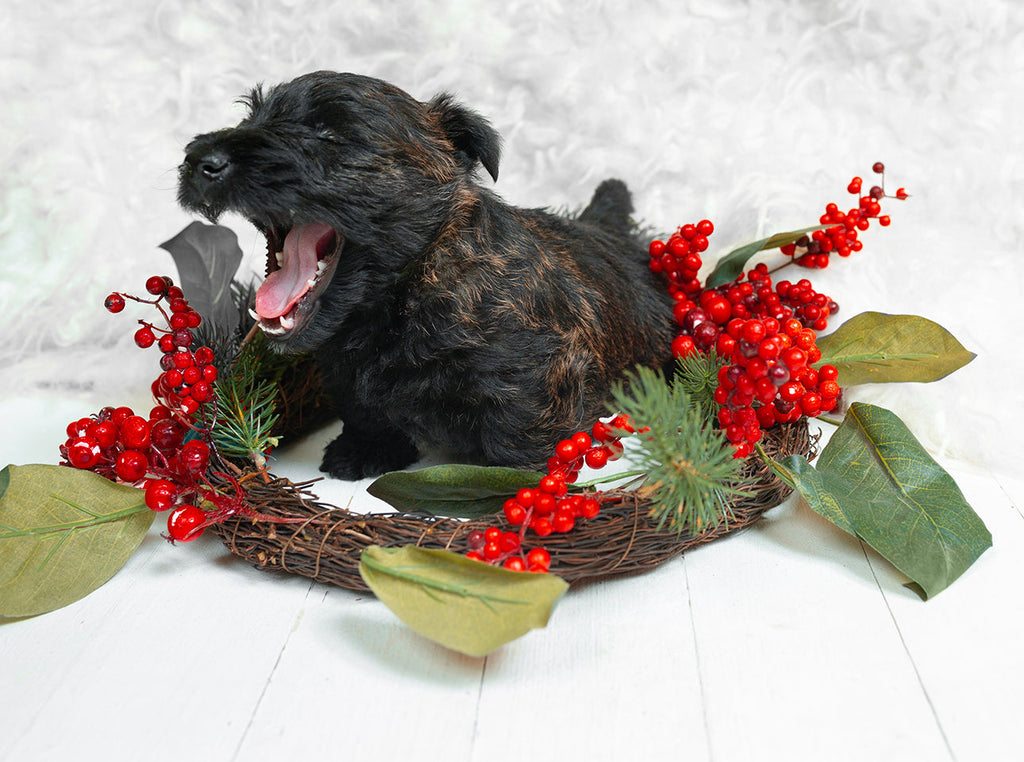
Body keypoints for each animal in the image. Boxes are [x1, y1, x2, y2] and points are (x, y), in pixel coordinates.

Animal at [178, 70, 671, 475]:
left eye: (328, 133)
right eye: (251, 118)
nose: (203, 161)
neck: (405, 290)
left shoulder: (544, 373)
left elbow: (522, 434)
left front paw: (506, 486)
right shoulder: (343, 372)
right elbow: (362, 410)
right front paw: (365, 451)